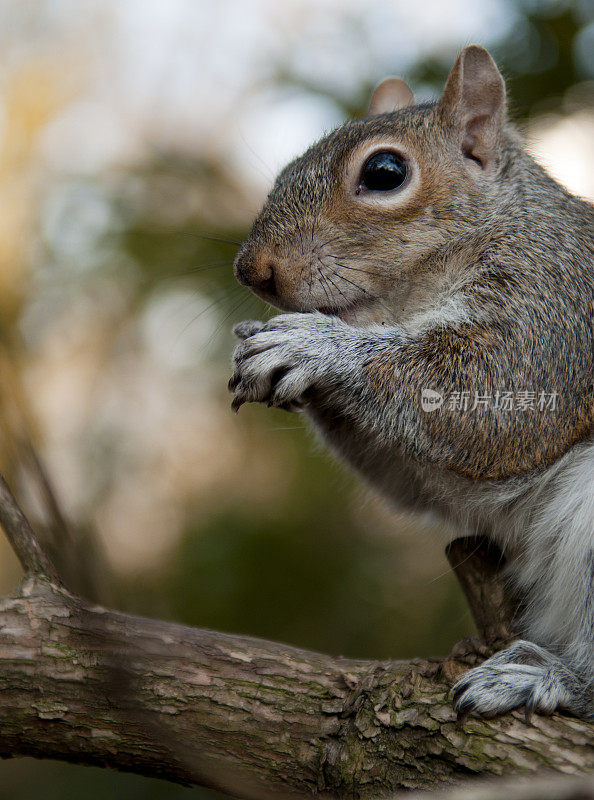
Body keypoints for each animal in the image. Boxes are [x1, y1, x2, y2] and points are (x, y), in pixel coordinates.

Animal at [227, 45, 592, 720]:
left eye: (385, 172)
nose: (252, 270)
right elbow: (412, 480)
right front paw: (259, 344)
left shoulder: (555, 310)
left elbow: (490, 400)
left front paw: (313, 344)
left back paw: (549, 677)